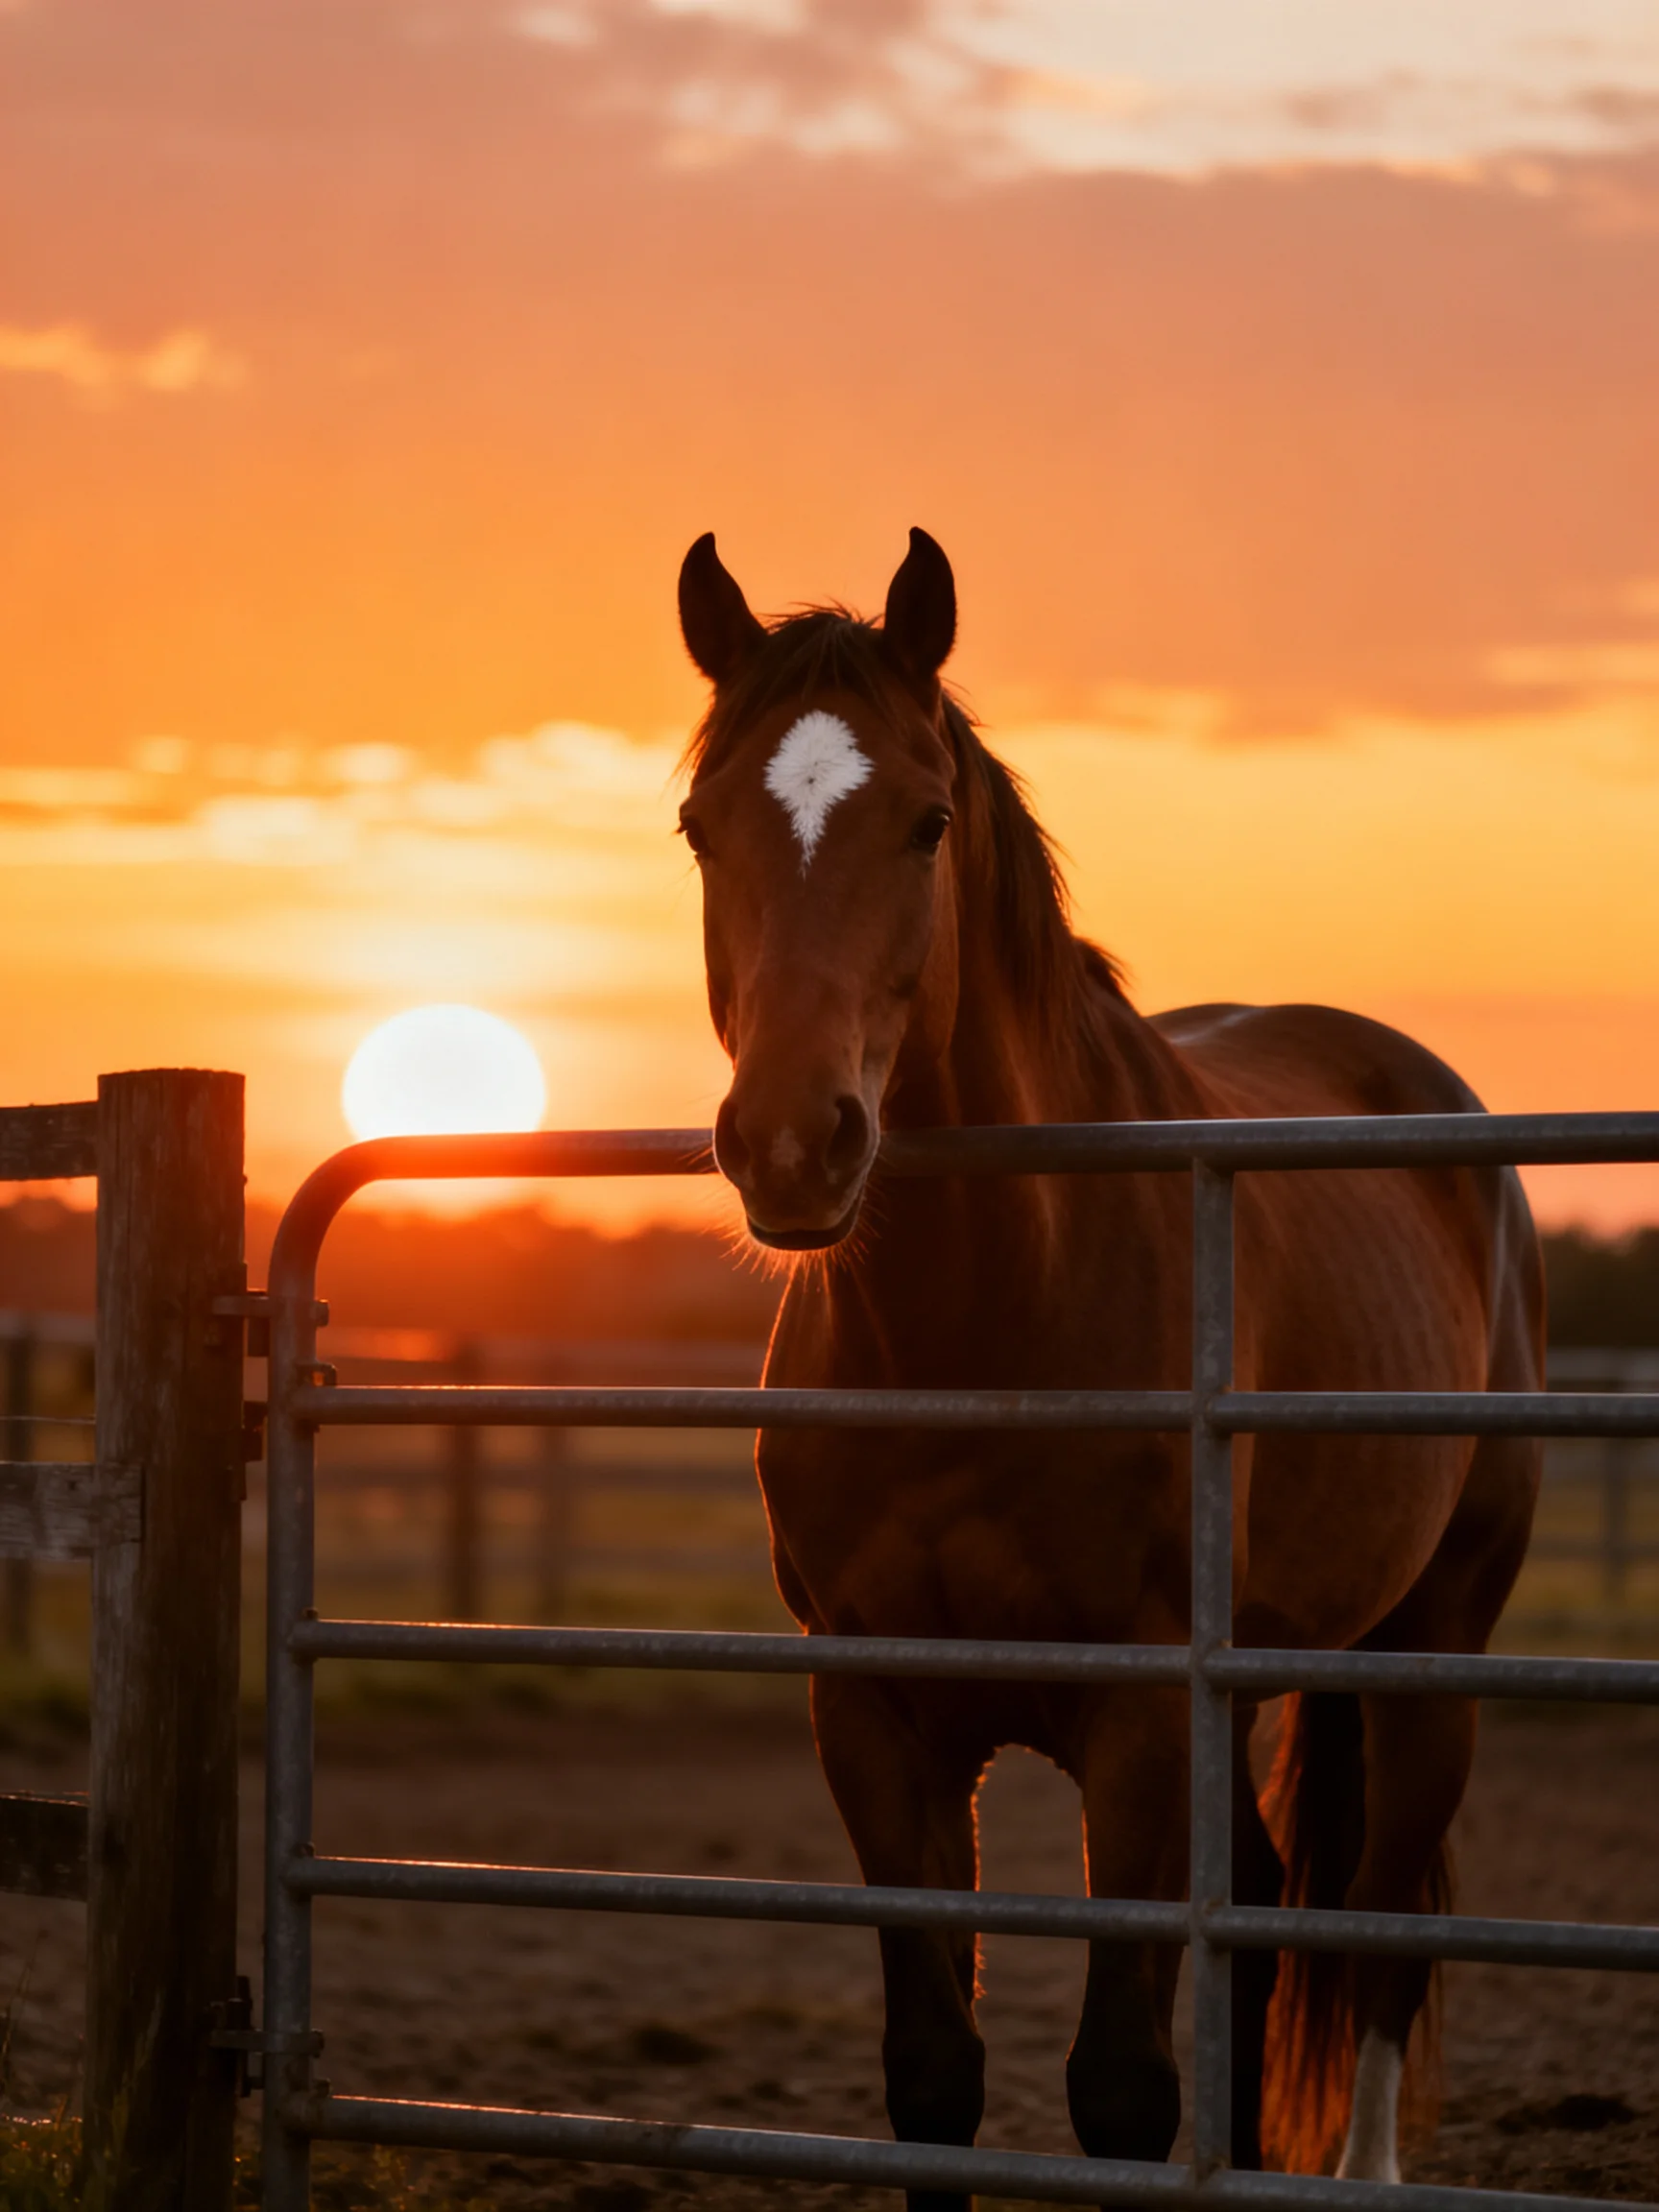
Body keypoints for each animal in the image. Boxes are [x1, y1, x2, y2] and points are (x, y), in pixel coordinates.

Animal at [674, 526, 1543, 2193]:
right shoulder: (873, 1718)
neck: (977, 1341)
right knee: (1263, 1912)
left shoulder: (1140, 1719)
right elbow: (935, 2076)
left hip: (1430, 1652)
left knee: (1378, 1931)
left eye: (929, 822)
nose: (793, 1144)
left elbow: (1125, 2091)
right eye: (700, 826)